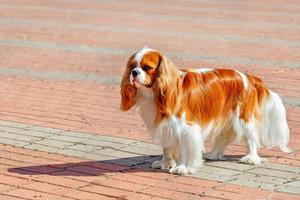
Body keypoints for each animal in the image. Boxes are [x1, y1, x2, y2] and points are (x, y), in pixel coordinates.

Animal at [119, 47, 290, 175]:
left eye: (147, 68)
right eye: (132, 66)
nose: (135, 73)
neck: (155, 93)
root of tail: (250, 77)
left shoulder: (185, 128)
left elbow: (185, 149)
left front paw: (182, 168)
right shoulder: (166, 126)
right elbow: (167, 147)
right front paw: (166, 163)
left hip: (243, 118)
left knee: (252, 138)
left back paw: (251, 158)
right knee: (223, 138)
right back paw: (213, 154)